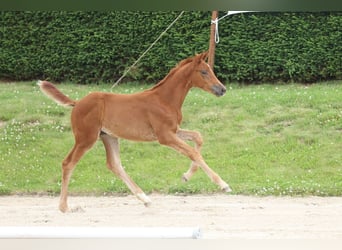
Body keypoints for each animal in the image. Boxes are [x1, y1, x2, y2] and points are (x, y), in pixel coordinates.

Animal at [38, 51, 232, 212]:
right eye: (204, 72)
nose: (222, 89)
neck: (164, 100)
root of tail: (77, 103)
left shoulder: (173, 131)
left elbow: (198, 138)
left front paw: (186, 176)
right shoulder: (165, 136)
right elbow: (193, 152)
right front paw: (223, 184)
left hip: (109, 137)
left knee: (114, 164)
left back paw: (144, 198)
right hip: (86, 138)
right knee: (68, 163)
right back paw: (64, 207)